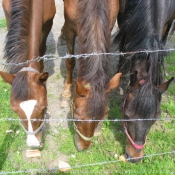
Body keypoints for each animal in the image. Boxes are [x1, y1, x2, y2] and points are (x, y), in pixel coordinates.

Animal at [0, 0, 55, 148]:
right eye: (13, 110)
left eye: (43, 107)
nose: (33, 143)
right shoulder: (10, 17)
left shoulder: (47, 24)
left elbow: (41, 53)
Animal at [60, 0, 122, 150]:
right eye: (76, 117)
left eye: (105, 114)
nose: (83, 147)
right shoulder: (70, 29)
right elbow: (70, 61)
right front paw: (66, 93)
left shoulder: (108, 28)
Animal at [114, 0, 175, 163]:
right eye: (127, 116)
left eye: (156, 118)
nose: (135, 158)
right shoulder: (124, 21)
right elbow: (124, 51)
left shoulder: (168, 23)